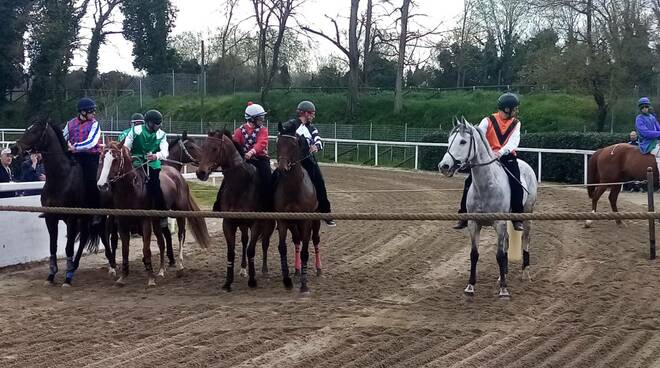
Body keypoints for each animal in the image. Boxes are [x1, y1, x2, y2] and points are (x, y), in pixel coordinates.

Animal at [96, 139, 210, 286]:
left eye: (115, 159)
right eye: (102, 158)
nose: (102, 185)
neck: (132, 189)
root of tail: (178, 176)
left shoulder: (145, 221)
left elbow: (147, 249)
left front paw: (150, 277)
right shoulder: (123, 222)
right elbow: (125, 248)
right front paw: (123, 276)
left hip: (179, 212)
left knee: (180, 235)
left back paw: (179, 267)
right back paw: (159, 271)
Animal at [195, 129, 274, 290]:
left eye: (215, 149)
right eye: (203, 147)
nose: (201, 173)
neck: (241, 184)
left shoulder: (256, 223)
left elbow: (251, 250)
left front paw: (252, 280)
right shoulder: (228, 223)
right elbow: (231, 252)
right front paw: (228, 282)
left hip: (268, 224)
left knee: (264, 243)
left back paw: (264, 270)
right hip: (242, 224)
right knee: (244, 241)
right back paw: (243, 269)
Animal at [274, 123, 322, 294]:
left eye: (294, 145)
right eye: (278, 143)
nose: (283, 168)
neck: (293, 189)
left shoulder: (306, 221)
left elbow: (305, 252)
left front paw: (304, 284)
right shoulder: (283, 220)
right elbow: (282, 248)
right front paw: (287, 280)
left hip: (315, 221)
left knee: (315, 240)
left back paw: (318, 269)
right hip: (293, 223)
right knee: (296, 240)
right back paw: (296, 270)